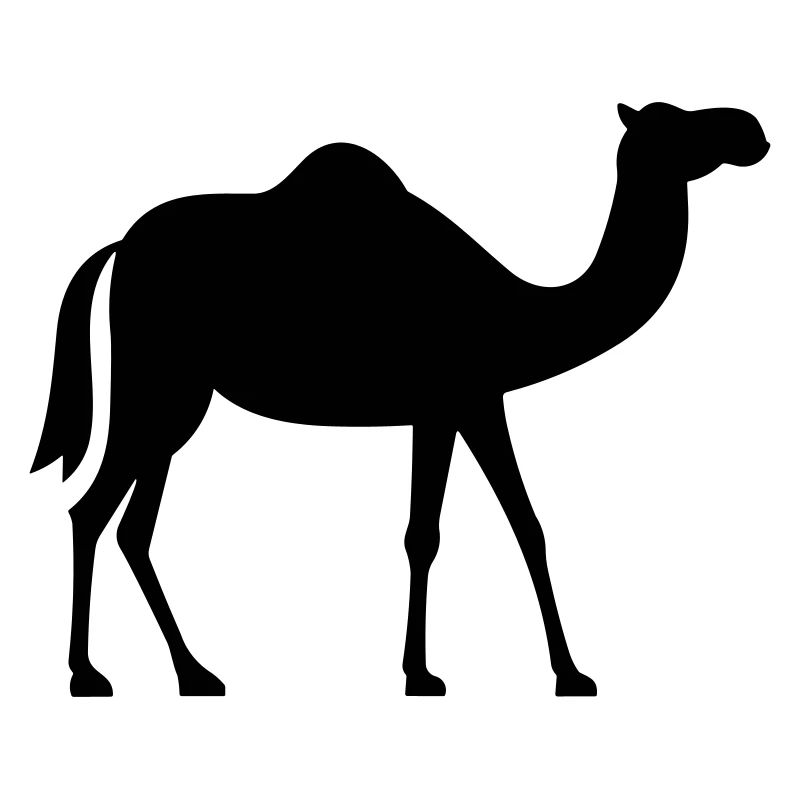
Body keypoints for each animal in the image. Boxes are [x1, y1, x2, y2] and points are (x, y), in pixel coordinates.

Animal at [32, 102, 769, 697]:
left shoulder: (452, 407)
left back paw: (188, 673)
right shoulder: (467, 398)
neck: (520, 311)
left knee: (125, 525)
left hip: (171, 400)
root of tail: (121, 246)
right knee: (97, 512)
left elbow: (478, 529)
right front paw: (503, 675)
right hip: (161, 386)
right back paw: (95, 675)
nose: (752, 128)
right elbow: (469, 530)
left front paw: (499, 672)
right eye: (675, 125)